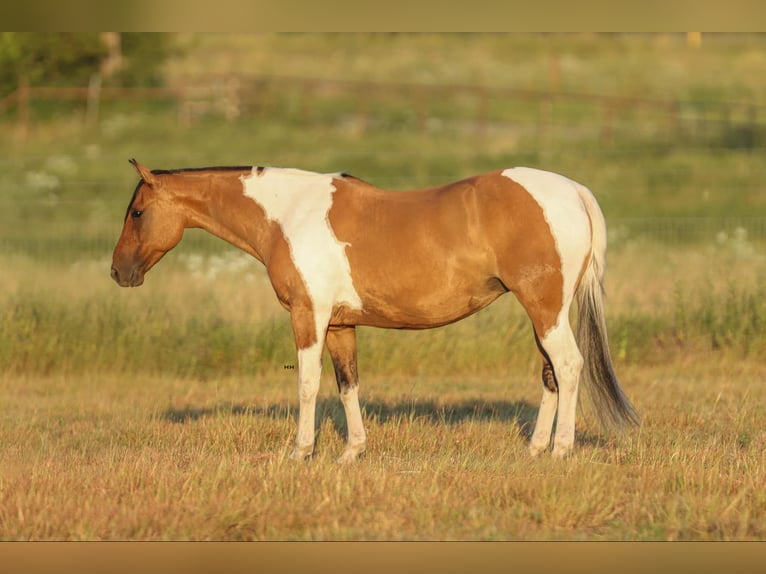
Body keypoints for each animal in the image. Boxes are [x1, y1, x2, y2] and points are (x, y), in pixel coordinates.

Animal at [111, 160, 640, 466]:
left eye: (137, 212)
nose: (119, 272)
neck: (289, 215)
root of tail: (572, 191)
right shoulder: (341, 324)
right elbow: (348, 385)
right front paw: (352, 452)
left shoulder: (308, 317)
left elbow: (308, 385)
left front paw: (300, 451)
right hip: (544, 312)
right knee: (551, 373)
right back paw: (535, 449)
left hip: (545, 308)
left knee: (568, 366)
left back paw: (561, 450)